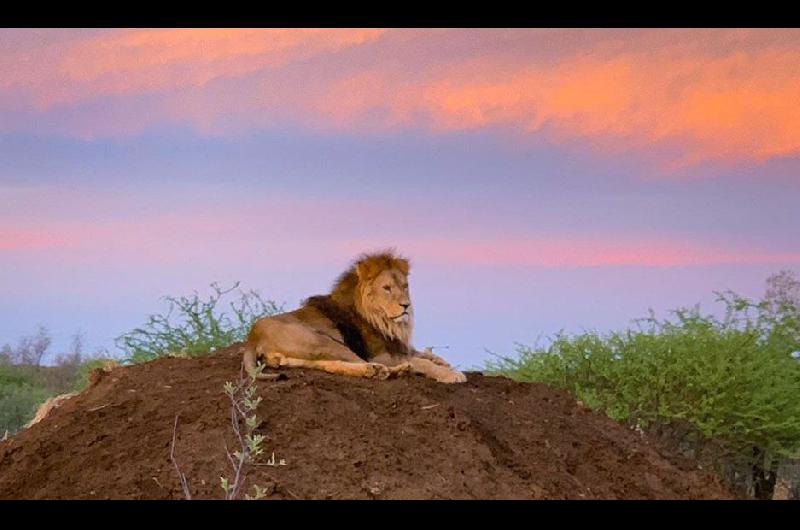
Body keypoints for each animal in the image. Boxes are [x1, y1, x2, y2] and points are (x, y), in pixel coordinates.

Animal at [244, 250, 468, 382]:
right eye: (387, 288)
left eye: (405, 286)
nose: (406, 305)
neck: (384, 320)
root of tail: (253, 335)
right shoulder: (381, 354)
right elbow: (421, 361)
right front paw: (451, 374)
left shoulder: (398, 346)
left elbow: (424, 354)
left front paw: (442, 362)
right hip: (322, 341)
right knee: (366, 362)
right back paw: (391, 370)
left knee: (327, 364)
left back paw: (375, 371)